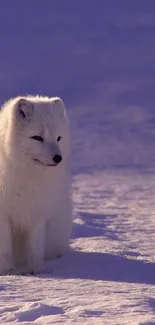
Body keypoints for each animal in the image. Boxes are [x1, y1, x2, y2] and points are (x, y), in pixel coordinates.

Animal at [0, 94, 72, 274]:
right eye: (37, 138)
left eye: (58, 138)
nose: (58, 158)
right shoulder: (3, 214)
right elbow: (5, 248)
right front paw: (8, 271)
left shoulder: (37, 211)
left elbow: (35, 246)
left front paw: (35, 270)